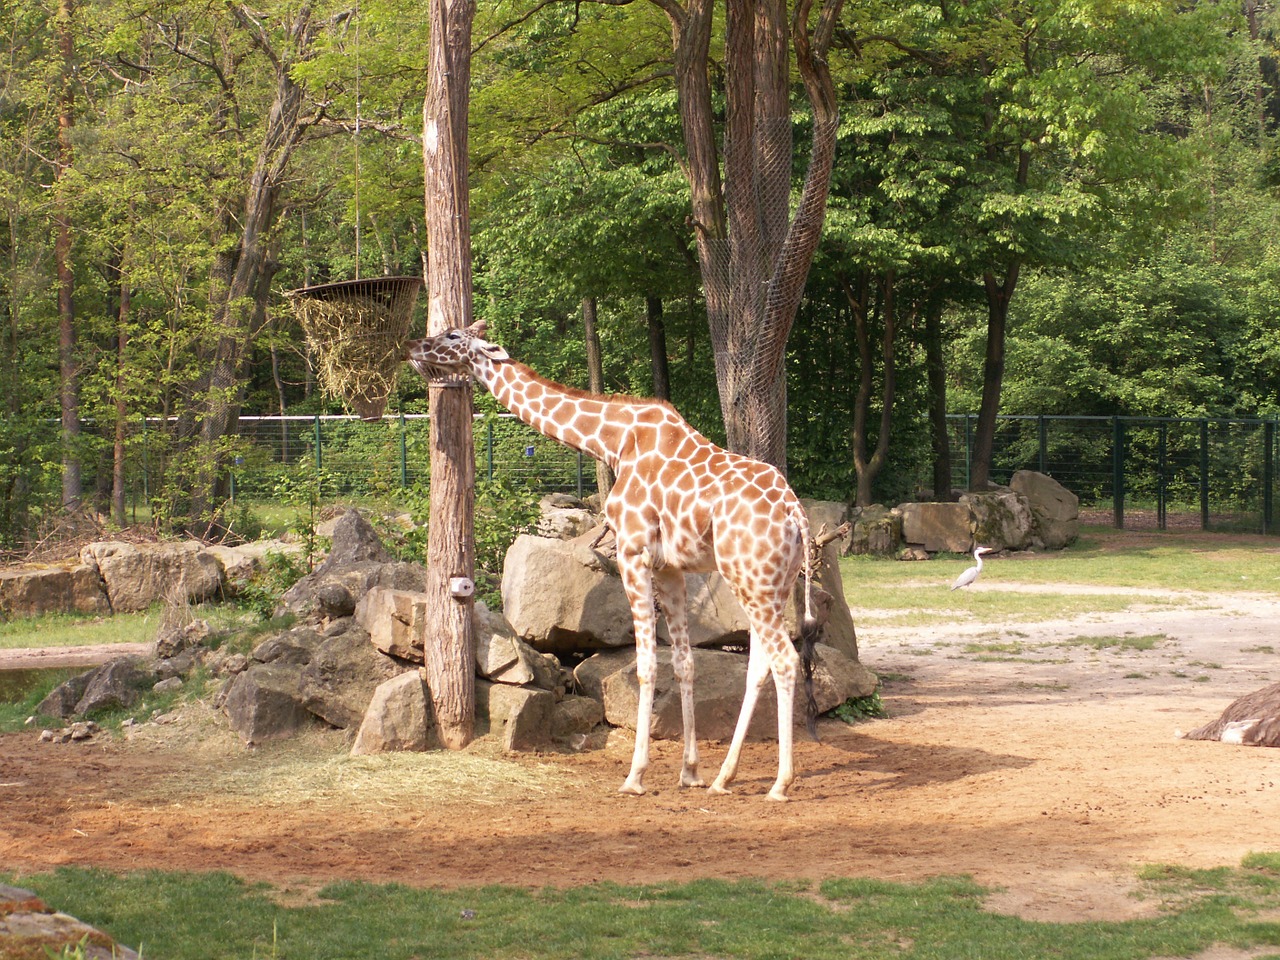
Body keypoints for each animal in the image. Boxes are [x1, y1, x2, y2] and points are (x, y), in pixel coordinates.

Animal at [407, 320, 819, 798]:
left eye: (454, 338)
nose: (414, 346)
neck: (614, 441)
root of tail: (796, 513)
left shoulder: (633, 552)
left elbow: (645, 665)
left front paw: (635, 776)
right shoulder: (671, 568)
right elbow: (684, 663)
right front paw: (690, 771)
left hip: (750, 577)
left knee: (784, 660)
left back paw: (780, 784)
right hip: (771, 582)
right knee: (761, 664)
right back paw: (723, 777)